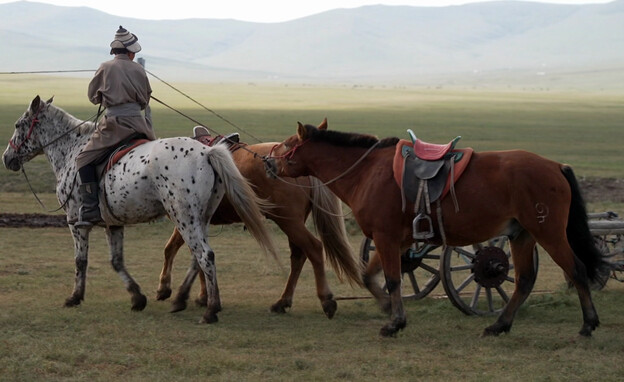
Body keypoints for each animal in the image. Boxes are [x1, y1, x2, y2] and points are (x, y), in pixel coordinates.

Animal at [0, 96, 278, 326]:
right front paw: (137, 297)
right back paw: (181, 299)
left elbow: (81, 260)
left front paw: (75, 297)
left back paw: (210, 310)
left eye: (18, 124)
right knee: (197, 258)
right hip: (201, 218)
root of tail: (207, 151)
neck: (72, 149)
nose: (7, 158)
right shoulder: (113, 223)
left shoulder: (75, 222)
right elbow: (116, 261)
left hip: (184, 217)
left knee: (204, 255)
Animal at [266, 118, 608, 338]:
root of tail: (555, 166)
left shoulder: (386, 237)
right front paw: (386, 307)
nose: (268, 163)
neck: (367, 172)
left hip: (547, 232)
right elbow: (370, 275)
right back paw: (499, 325)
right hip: (521, 234)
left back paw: (588, 324)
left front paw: (394, 323)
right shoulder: (397, 240)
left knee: (576, 270)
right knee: (524, 280)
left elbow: (392, 279)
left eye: (288, 144)